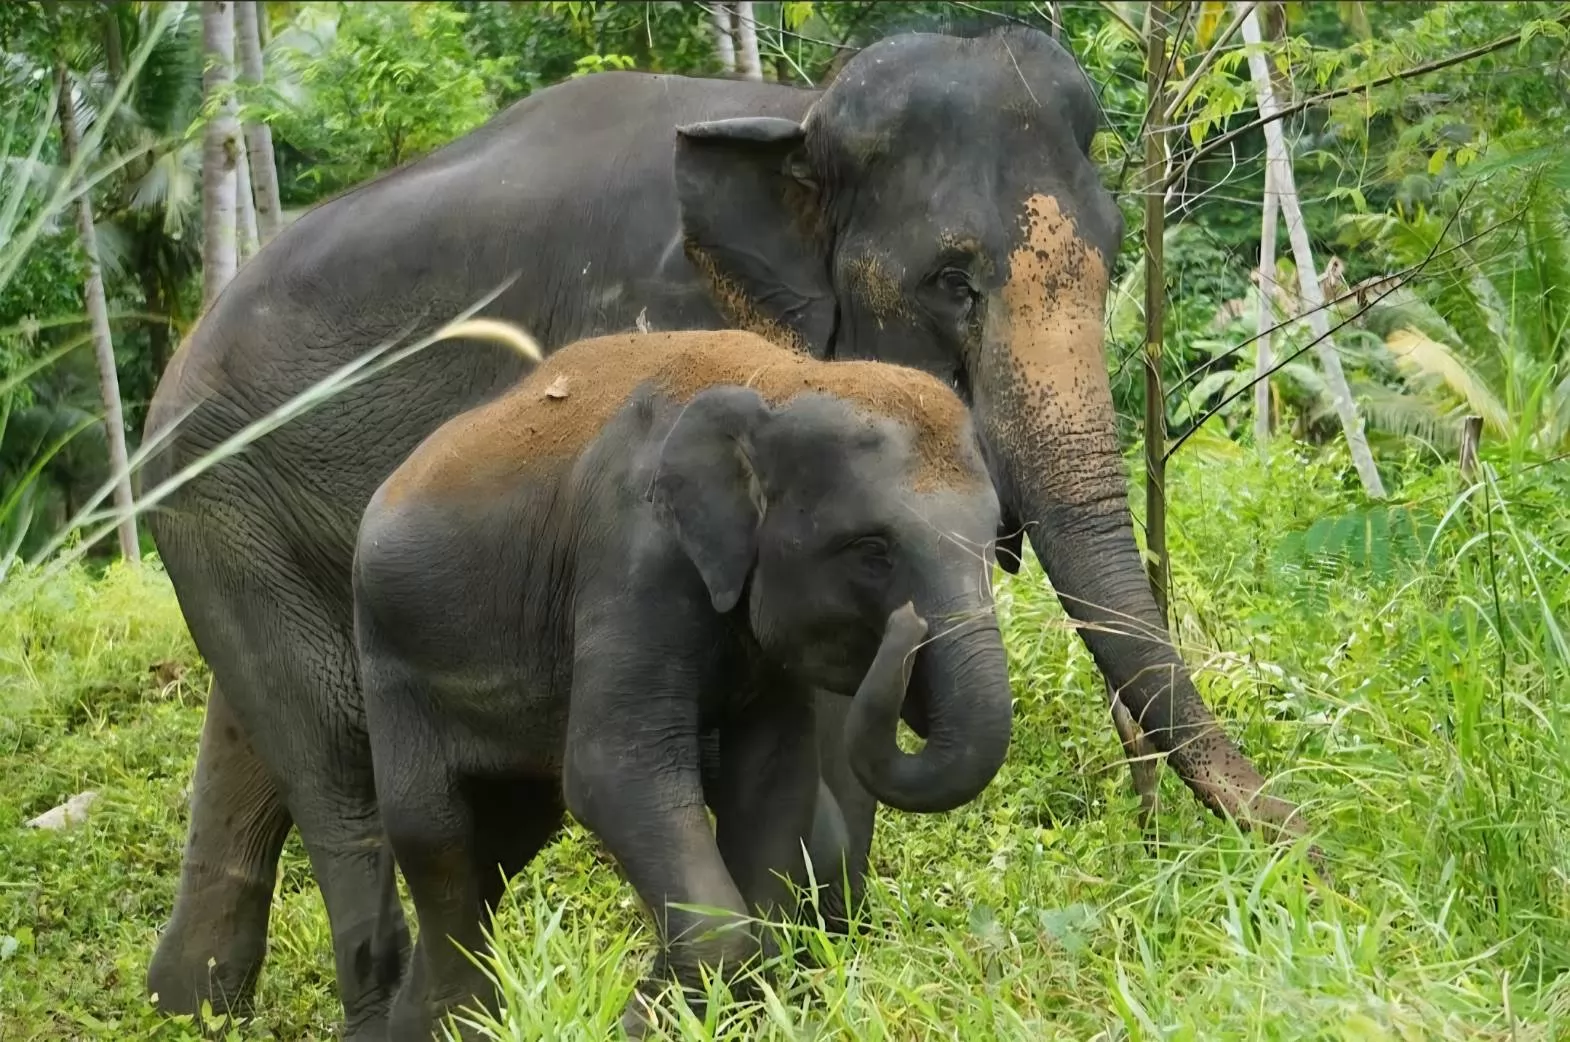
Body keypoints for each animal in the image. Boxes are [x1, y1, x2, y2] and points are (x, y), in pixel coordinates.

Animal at [352, 327, 1014, 1038]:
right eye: (872, 550)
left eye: (995, 541)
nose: (907, 630)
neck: (777, 380)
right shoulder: (633, 560)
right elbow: (612, 774)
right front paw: (647, 1016)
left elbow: (774, 778)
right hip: (391, 668)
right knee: (439, 838)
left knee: (501, 842)